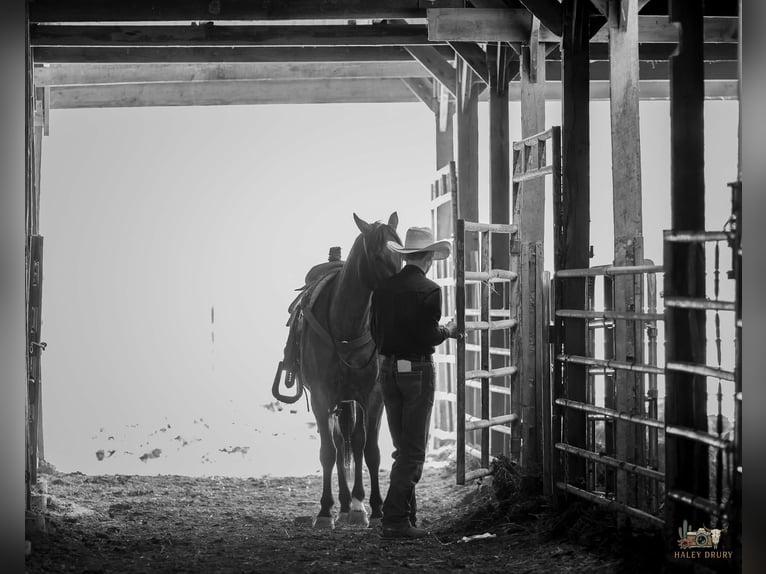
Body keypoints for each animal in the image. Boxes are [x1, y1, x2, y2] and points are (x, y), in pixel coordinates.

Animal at [298, 212, 401, 529]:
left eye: (403, 254)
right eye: (379, 257)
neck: (346, 327)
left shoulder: (373, 396)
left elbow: (368, 450)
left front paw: (371, 508)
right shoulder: (321, 397)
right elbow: (328, 452)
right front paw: (325, 511)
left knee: (353, 443)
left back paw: (353, 505)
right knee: (338, 442)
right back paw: (342, 505)